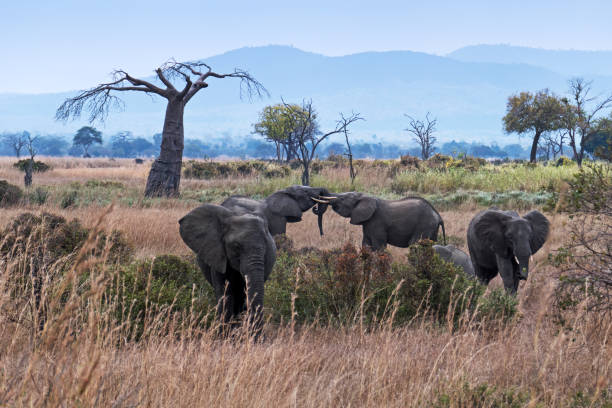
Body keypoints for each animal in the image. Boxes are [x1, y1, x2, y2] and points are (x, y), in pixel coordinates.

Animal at [178, 204, 276, 334]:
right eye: (236, 246)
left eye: (267, 245)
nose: (260, 337)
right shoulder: (217, 253)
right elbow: (225, 292)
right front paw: (224, 335)